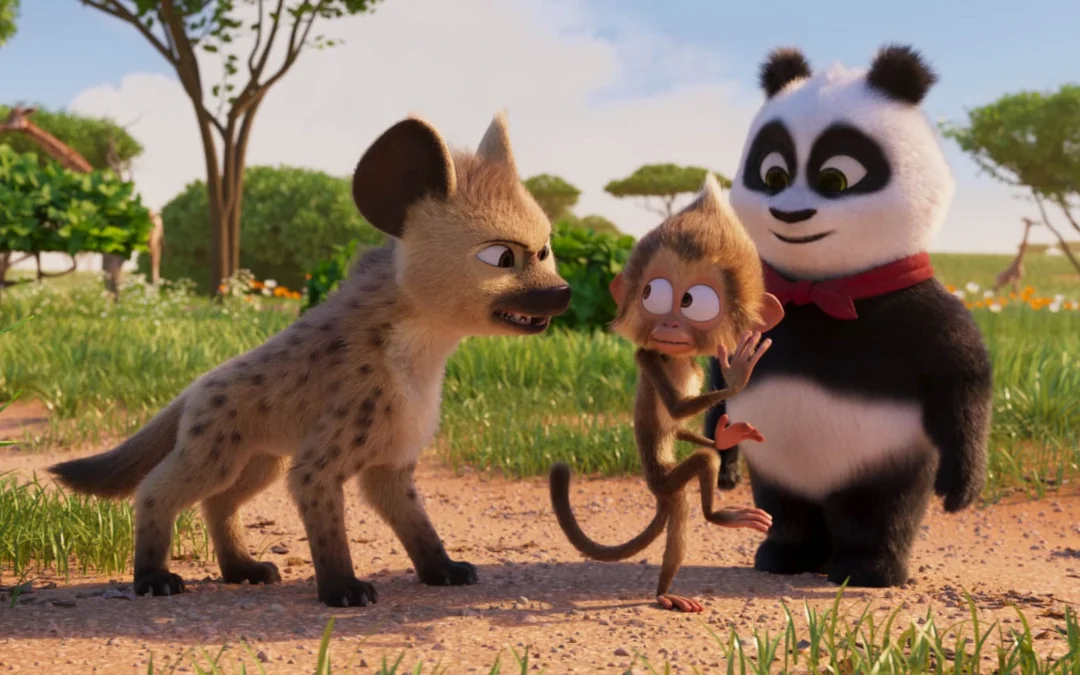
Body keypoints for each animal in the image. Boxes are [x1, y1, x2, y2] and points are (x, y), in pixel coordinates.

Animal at [702, 44, 994, 588]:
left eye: (834, 179)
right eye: (773, 175)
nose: (790, 214)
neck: (819, 289)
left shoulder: (920, 308)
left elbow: (963, 374)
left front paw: (961, 486)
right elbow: (720, 380)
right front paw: (722, 465)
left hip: (883, 460)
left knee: (878, 511)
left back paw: (866, 567)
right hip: (774, 462)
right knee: (787, 508)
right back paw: (787, 555)